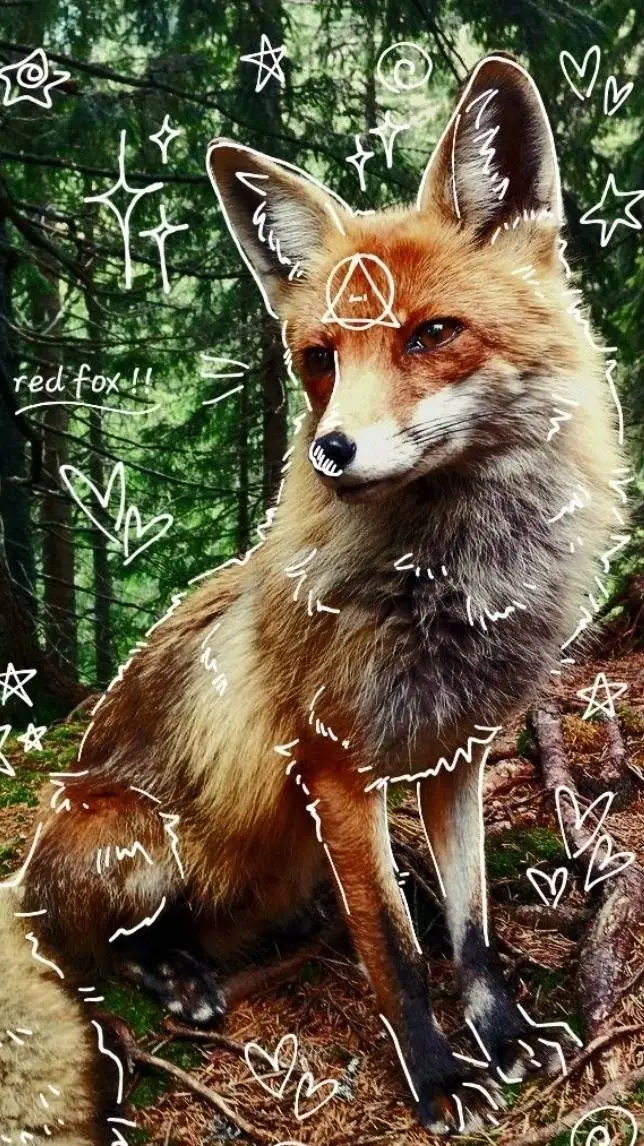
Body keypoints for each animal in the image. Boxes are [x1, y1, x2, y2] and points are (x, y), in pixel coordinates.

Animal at [1, 54, 621, 1140]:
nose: (332, 451)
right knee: (97, 947)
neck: (446, 592)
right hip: (141, 838)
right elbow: (395, 953)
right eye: (320, 358)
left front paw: (501, 1035)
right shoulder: (337, 770)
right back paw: (176, 973)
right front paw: (437, 1078)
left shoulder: (456, 757)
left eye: (431, 335)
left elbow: (469, 929)